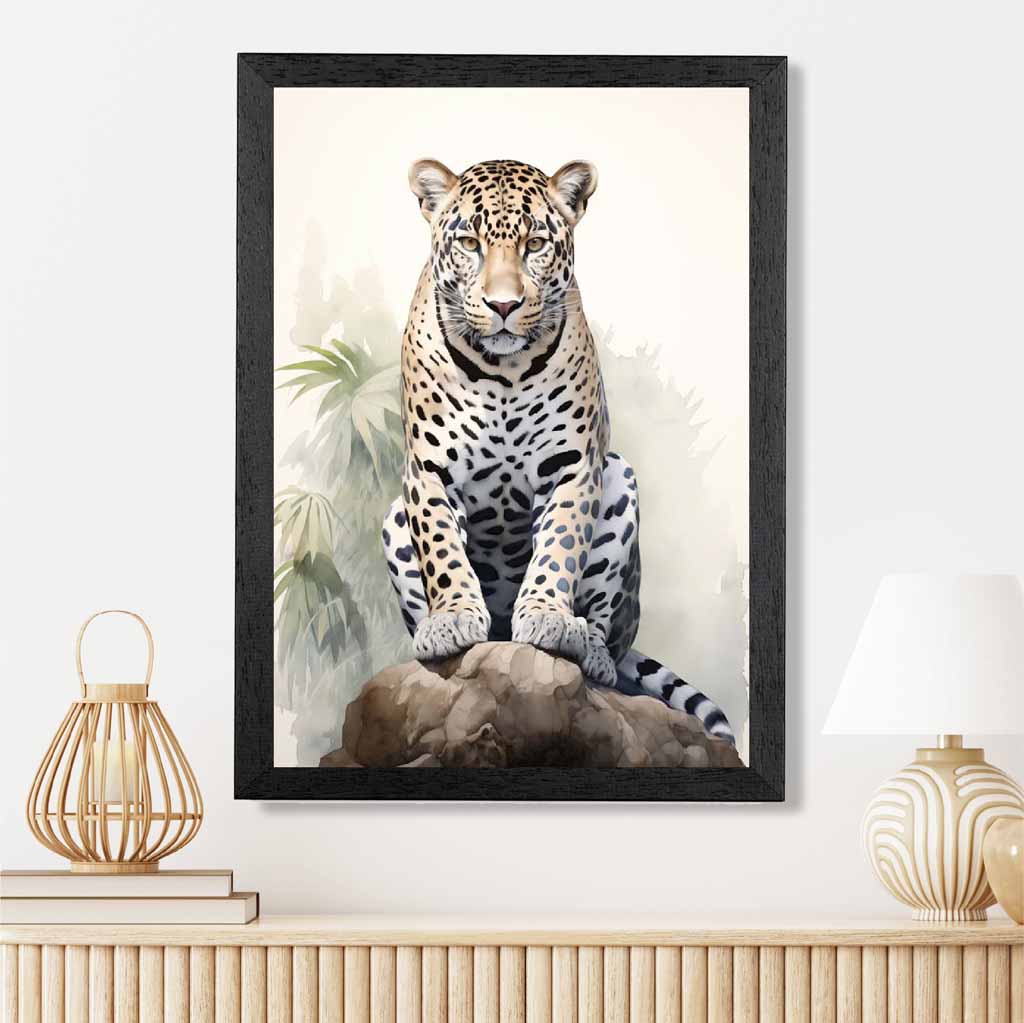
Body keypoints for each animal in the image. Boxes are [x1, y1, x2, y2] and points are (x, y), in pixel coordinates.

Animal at [380, 157, 735, 745]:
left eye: (536, 244)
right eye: (470, 243)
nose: (503, 304)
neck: (500, 372)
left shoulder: (573, 468)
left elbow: (560, 548)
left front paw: (547, 614)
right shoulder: (428, 471)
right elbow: (443, 552)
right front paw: (452, 617)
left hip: (621, 483)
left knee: (608, 634)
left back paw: (588, 648)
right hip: (392, 517)